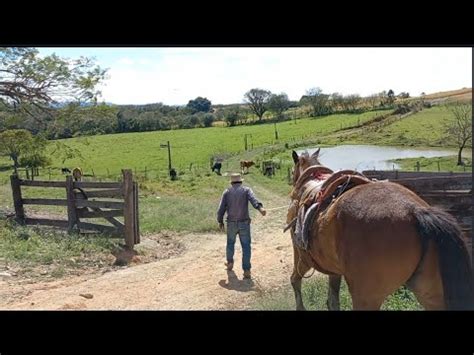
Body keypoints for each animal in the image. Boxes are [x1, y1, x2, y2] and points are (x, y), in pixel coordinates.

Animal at [286, 149, 472, 310]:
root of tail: (415, 211)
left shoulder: (302, 257)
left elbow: (295, 280)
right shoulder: (333, 269)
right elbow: (332, 300)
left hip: (366, 297)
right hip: (431, 292)